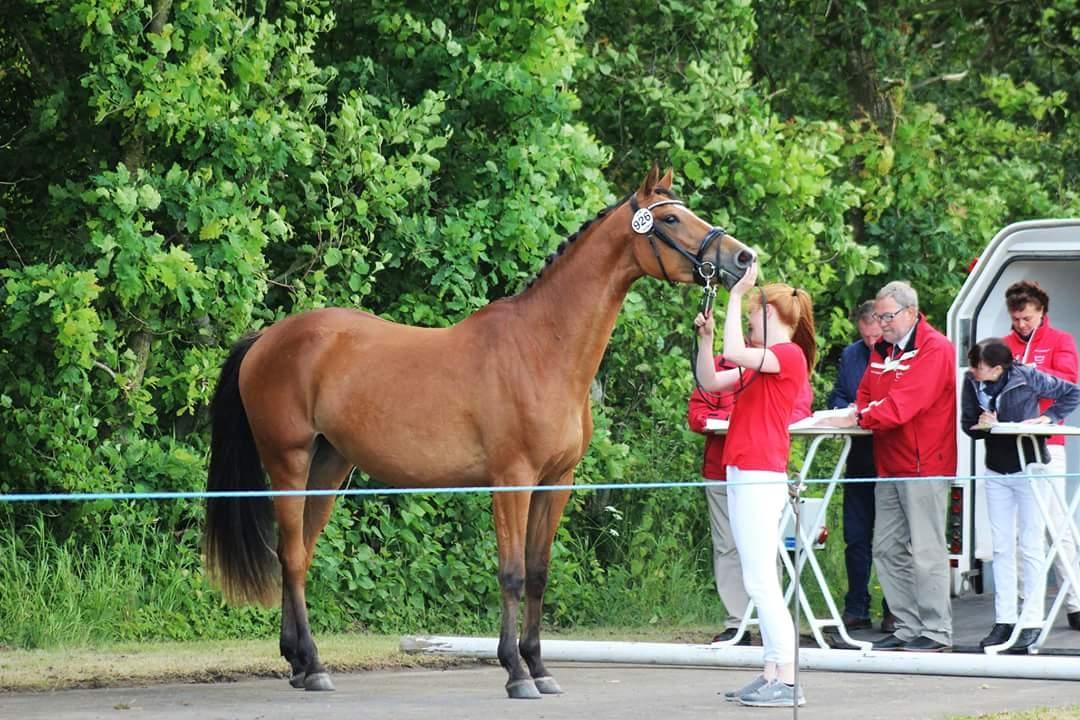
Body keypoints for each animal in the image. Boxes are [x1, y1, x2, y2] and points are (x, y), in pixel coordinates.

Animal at [204, 167, 751, 699]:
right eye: (673, 219)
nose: (743, 258)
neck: (543, 347)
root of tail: (267, 338)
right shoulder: (512, 480)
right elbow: (511, 574)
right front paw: (515, 673)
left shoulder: (557, 483)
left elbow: (538, 573)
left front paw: (540, 668)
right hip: (288, 460)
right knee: (292, 556)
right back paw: (313, 664)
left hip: (330, 464)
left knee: (298, 553)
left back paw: (299, 663)